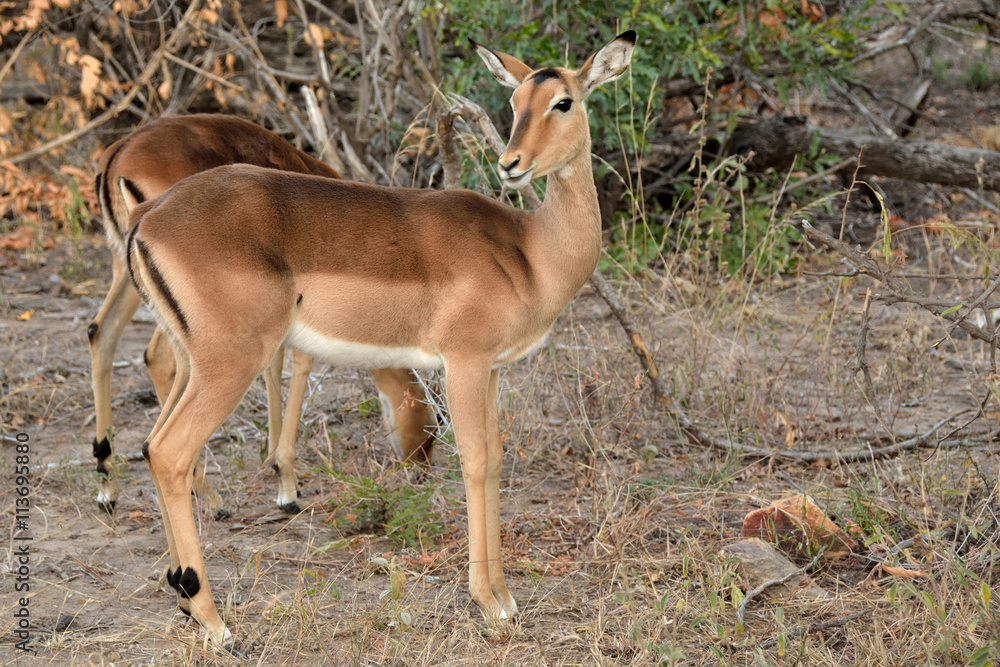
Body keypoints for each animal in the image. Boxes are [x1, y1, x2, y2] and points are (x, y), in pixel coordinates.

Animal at [89, 114, 436, 514]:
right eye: (434, 417)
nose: (421, 467)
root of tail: (119, 153)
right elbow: (298, 363)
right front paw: (285, 481)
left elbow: (276, 364)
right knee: (158, 360)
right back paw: (209, 496)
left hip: (128, 275)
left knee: (102, 332)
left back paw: (111, 484)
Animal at [126, 31, 635, 649]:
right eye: (515, 102)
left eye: (563, 101)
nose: (510, 164)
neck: (529, 252)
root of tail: (149, 216)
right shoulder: (464, 362)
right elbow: (474, 461)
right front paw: (489, 604)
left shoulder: (491, 369)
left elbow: (493, 461)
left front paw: (508, 600)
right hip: (231, 361)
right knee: (172, 452)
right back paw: (216, 624)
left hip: (191, 360)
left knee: (151, 445)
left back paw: (183, 596)